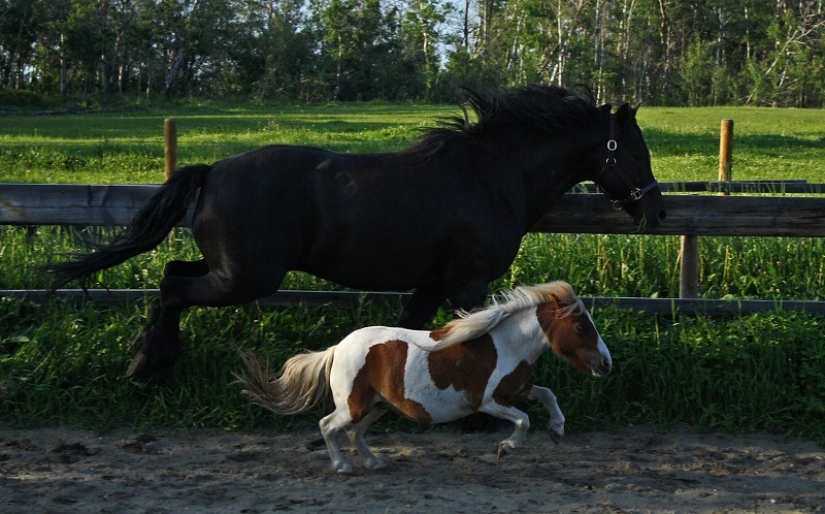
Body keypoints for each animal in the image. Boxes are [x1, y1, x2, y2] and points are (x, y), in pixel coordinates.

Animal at [45, 85, 668, 376]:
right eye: (636, 152)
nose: (658, 212)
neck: (493, 175)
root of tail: (212, 170)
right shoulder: (467, 283)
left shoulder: (433, 282)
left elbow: (418, 332)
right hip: (245, 278)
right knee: (173, 289)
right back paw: (148, 364)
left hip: (229, 270)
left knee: (171, 275)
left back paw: (149, 357)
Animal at [235, 280, 608, 472]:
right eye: (580, 327)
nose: (606, 364)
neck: (504, 345)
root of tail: (338, 348)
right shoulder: (486, 401)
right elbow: (524, 420)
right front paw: (506, 448)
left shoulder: (516, 389)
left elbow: (547, 394)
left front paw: (557, 431)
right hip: (354, 405)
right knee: (329, 426)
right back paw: (342, 466)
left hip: (378, 405)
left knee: (355, 432)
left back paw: (375, 463)